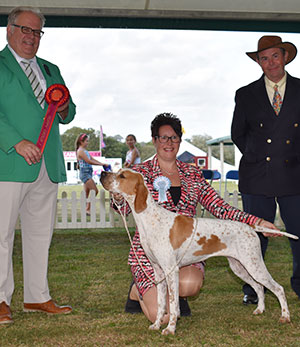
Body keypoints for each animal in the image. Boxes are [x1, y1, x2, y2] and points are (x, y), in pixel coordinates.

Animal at [100, 170, 298, 336]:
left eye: (122, 175)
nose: (102, 173)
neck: (150, 219)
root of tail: (250, 227)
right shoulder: (158, 272)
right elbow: (161, 304)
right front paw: (156, 325)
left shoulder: (171, 271)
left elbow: (173, 305)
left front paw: (170, 329)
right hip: (240, 267)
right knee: (259, 287)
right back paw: (260, 310)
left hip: (254, 265)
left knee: (278, 289)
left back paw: (285, 316)